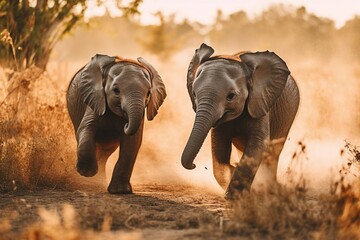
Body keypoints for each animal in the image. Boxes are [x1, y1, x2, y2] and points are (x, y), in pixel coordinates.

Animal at [67, 54, 167, 193]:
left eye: (148, 93)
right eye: (116, 90)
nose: (126, 124)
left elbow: (132, 142)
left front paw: (120, 191)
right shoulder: (95, 99)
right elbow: (86, 128)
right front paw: (87, 172)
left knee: (104, 154)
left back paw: (98, 182)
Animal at [181, 43, 300, 199]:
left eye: (231, 96)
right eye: (194, 94)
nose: (193, 165)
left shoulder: (260, 103)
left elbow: (258, 145)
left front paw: (234, 196)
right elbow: (219, 150)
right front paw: (233, 173)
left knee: (272, 154)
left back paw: (269, 189)